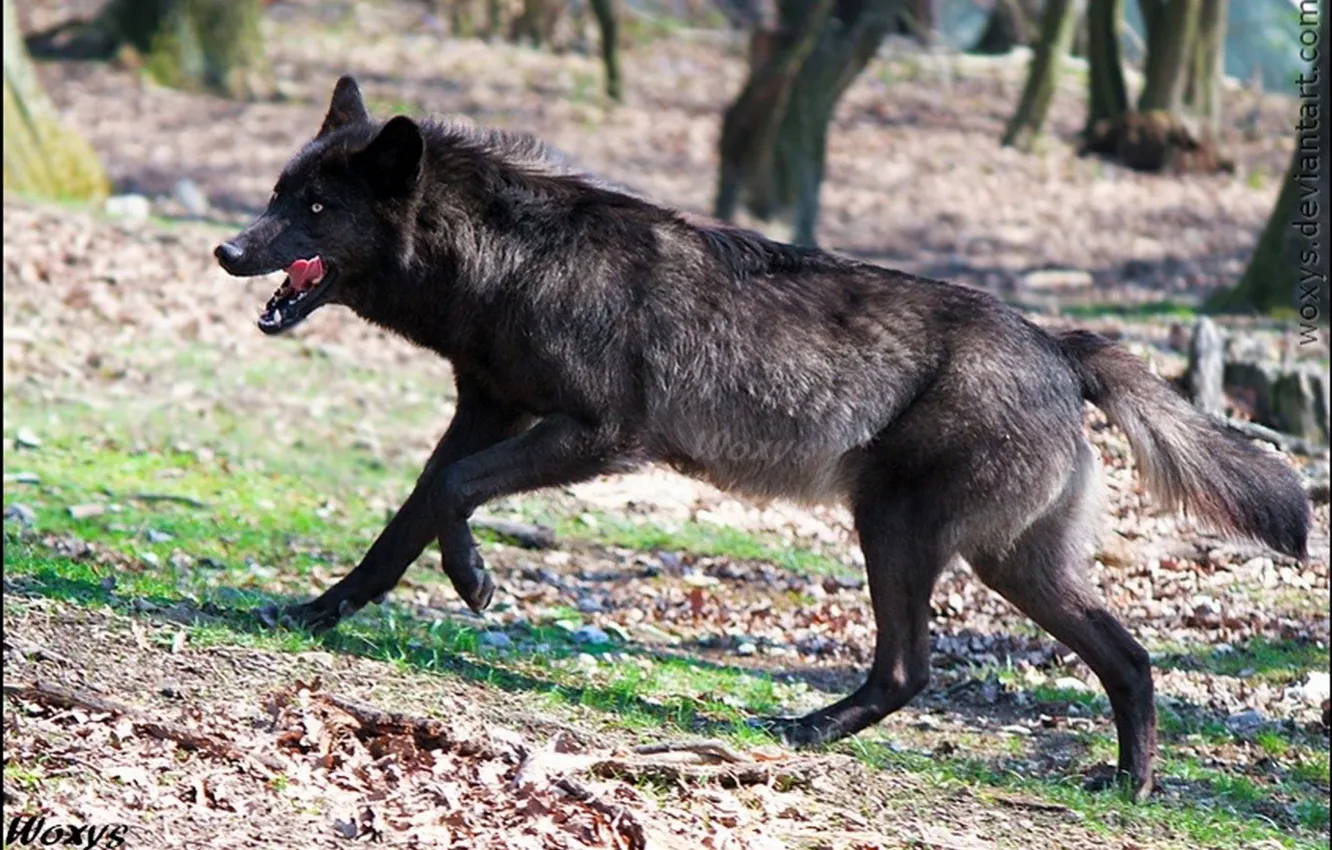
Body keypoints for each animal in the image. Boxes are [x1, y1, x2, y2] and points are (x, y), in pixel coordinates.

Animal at [215, 76, 1312, 800]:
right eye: (276, 194)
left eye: (314, 207)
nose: (226, 249)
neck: (517, 263)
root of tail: (1058, 338)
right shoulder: (482, 412)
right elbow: (403, 521)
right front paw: (313, 613)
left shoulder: (597, 438)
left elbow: (450, 498)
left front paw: (476, 580)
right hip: (1008, 564)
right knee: (1127, 657)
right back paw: (1127, 784)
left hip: (899, 534)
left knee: (914, 670)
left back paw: (806, 729)